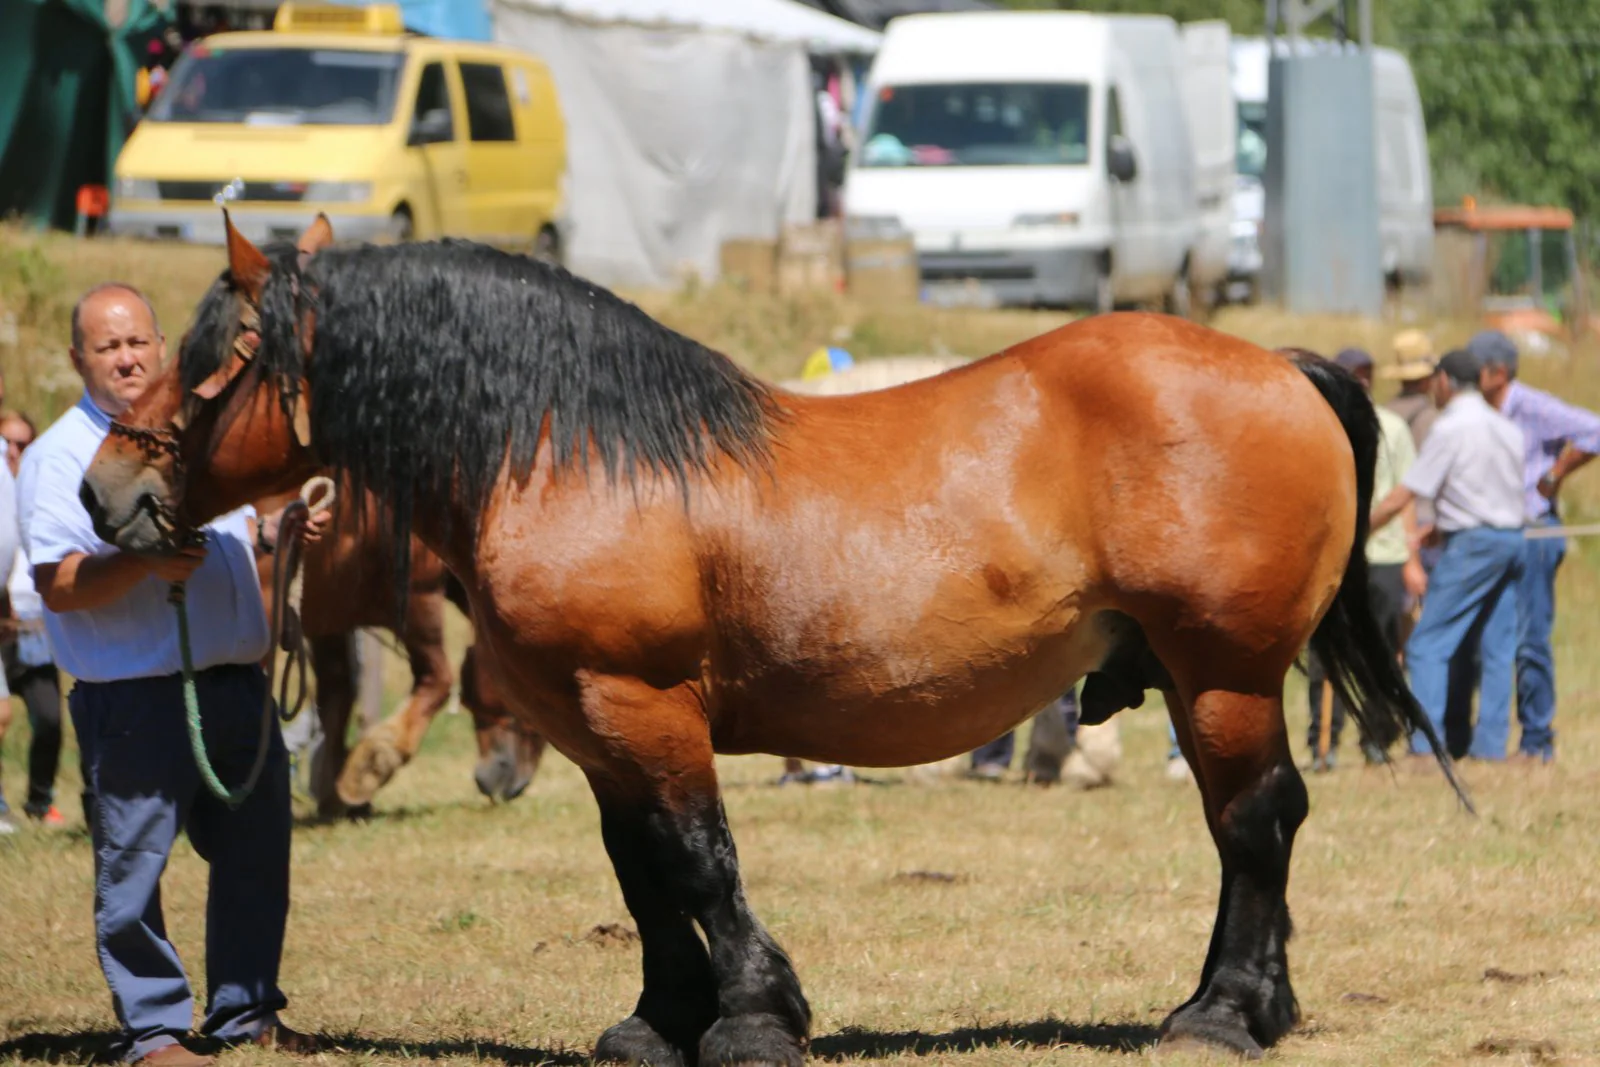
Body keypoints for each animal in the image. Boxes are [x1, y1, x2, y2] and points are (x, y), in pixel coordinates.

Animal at [256, 483, 544, 819]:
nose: (515, 785)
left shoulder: (328, 617)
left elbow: (337, 689)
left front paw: (335, 787)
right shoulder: (416, 594)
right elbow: (438, 680)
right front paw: (369, 768)